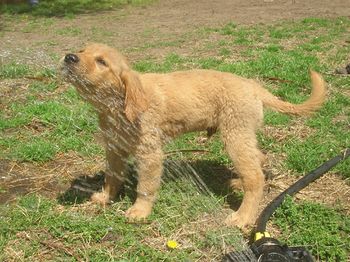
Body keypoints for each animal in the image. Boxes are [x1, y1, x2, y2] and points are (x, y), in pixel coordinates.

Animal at [59, 43, 326, 227]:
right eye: (82, 50)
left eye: (102, 62)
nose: (69, 56)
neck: (119, 105)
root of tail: (254, 86)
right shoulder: (114, 149)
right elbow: (111, 177)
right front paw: (106, 197)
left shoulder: (150, 154)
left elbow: (145, 187)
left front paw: (140, 212)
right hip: (243, 135)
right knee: (257, 161)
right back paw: (238, 183)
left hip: (235, 136)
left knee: (255, 177)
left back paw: (242, 217)